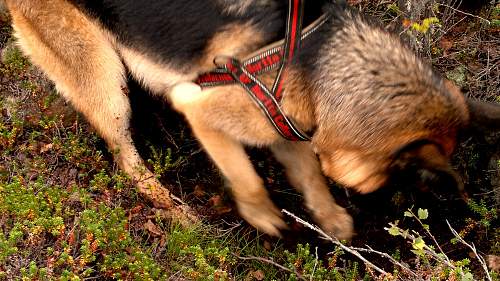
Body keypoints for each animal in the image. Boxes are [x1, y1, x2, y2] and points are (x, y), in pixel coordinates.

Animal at [4, 0, 500, 240]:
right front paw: (263, 217)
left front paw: (332, 221)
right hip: (106, 81)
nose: (447, 208)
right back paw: (178, 213)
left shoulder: (286, 123)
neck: (315, 59)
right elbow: (248, 178)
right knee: (126, 158)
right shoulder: (203, 110)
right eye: (407, 175)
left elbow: (310, 174)